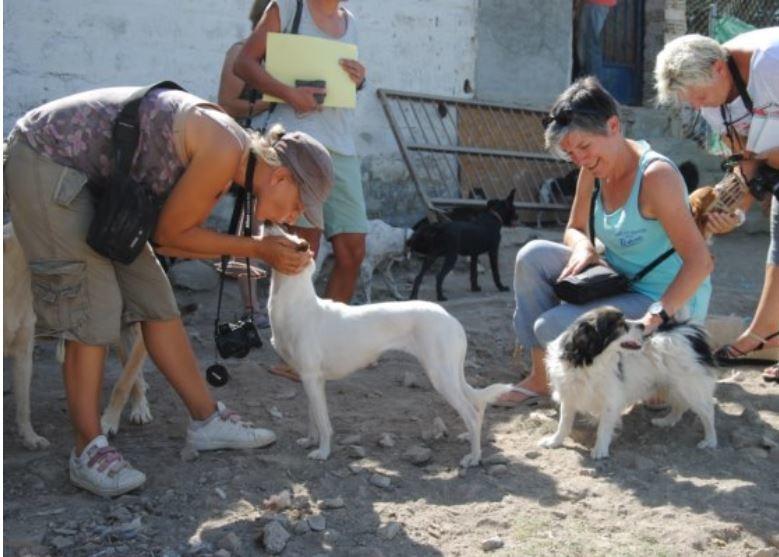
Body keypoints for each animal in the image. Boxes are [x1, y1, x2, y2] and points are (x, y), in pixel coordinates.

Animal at [272, 228, 516, 466]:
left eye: (286, 236)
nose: (267, 222)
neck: (297, 305)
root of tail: (451, 319)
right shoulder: (311, 379)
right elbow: (313, 416)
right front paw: (310, 441)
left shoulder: (311, 377)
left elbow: (323, 423)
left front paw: (323, 452)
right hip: (449, 374)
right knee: (476, 410)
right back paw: (471, 442)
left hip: (441, 377)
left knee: (471, 414)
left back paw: (473, 458)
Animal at [540, 306, 716, 458]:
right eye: (620, 325)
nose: (643, 325)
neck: (588, 362)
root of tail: (688, 329)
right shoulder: (569, 395)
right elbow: (564, 423)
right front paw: (555, 441)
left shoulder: (610, 400)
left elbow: (603, 427)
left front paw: (600, 449)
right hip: (673, 385)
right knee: (680, 404)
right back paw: (667, 421)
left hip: (690, 386)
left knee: (707, 412)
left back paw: (710, 440)